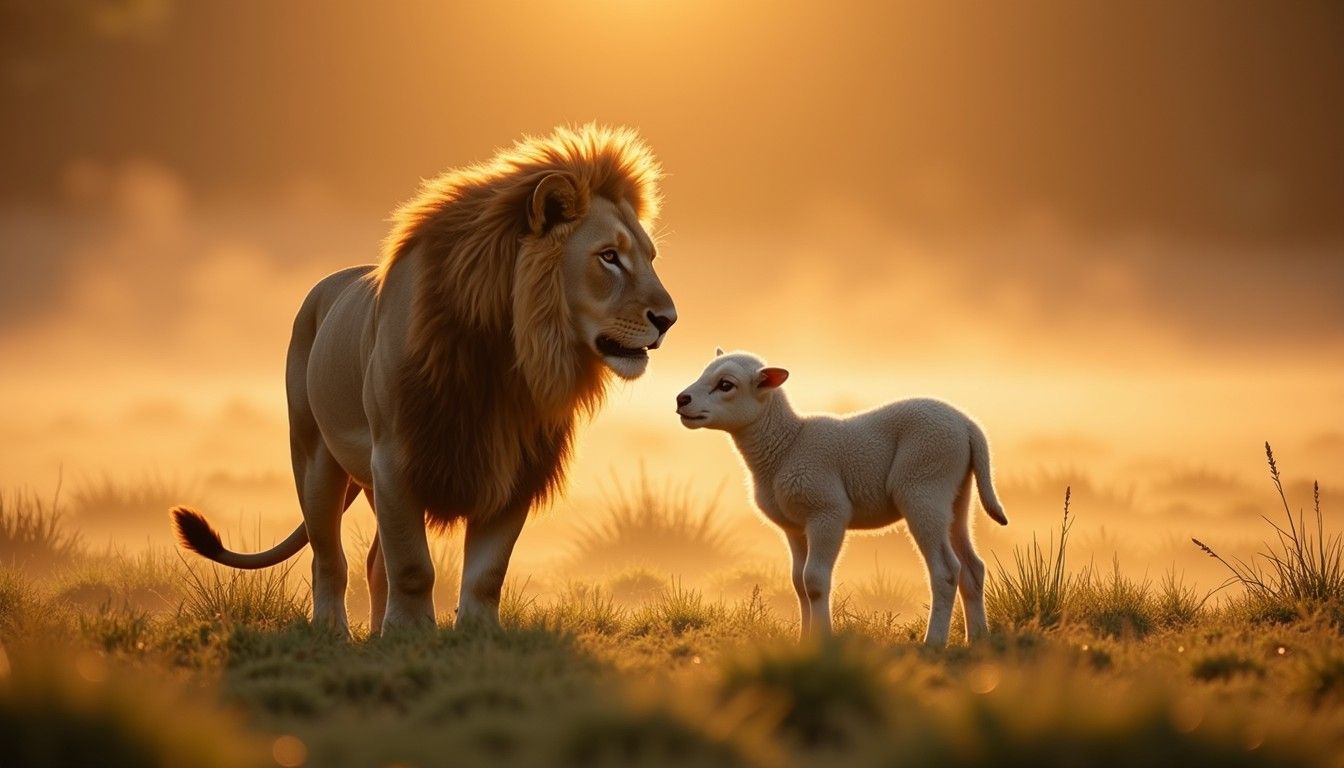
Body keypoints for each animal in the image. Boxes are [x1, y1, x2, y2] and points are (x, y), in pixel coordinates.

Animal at [170, 124, 676, 634]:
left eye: (651, 257)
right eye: (609, 257)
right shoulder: (396, 459)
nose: (669, 320)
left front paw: (476, 635)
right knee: (328, 558)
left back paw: (376, 635)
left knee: (374, 561)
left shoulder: (515, 468)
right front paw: (412, 633)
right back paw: (333, 630)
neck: (508, 358)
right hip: (315, 458)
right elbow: (413, 565)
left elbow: (486, 572)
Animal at [675, 349, 1007, 645]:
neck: (786, 445)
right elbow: (798, 583)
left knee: (947, 570)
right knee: (972, 568)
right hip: (956, 497)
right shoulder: (794, 527)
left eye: (726, 385)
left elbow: (815, 581)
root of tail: (969, 426)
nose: (681, 400)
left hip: (924, 487)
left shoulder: (827, 512)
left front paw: (823, 640)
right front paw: (804, 641)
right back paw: (978, 639)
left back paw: (934, 642)